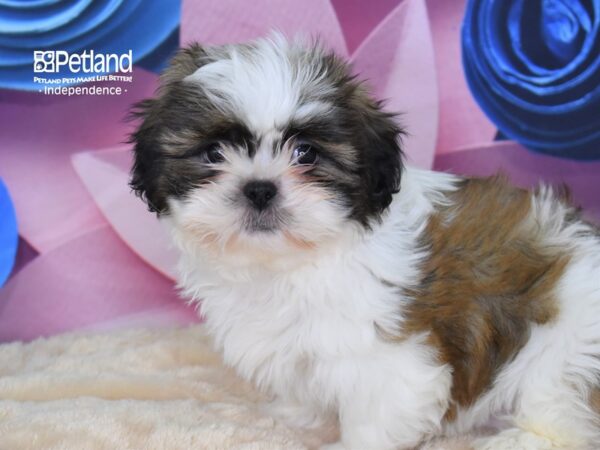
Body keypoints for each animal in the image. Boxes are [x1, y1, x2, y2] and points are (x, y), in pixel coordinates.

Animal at [130, 33, 600, 448]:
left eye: (306, 153)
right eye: (213, 153)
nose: (260, 188)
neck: (291, 264)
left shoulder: (394, 361)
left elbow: (377, 415)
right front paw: (295, 415)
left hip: (565, 357)